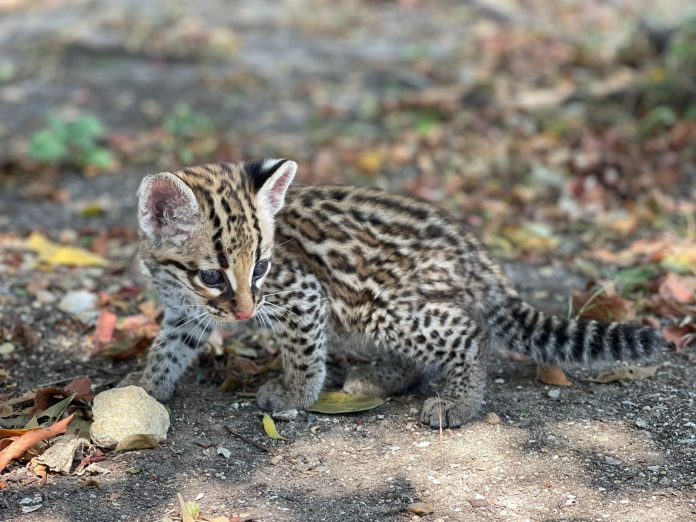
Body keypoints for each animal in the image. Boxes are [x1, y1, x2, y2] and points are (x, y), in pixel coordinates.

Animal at [136, 159, 664, 426]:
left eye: (262, 267)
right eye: (213, 276)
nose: (247, 315)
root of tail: (477, 254)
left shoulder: (302, 293)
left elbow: (304, 354)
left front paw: (295, 394)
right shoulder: (189, 309)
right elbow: (168, 347)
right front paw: (143, 389)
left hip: (381, 308)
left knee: (469, 332)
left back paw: (459, 403)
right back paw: (381, 377)